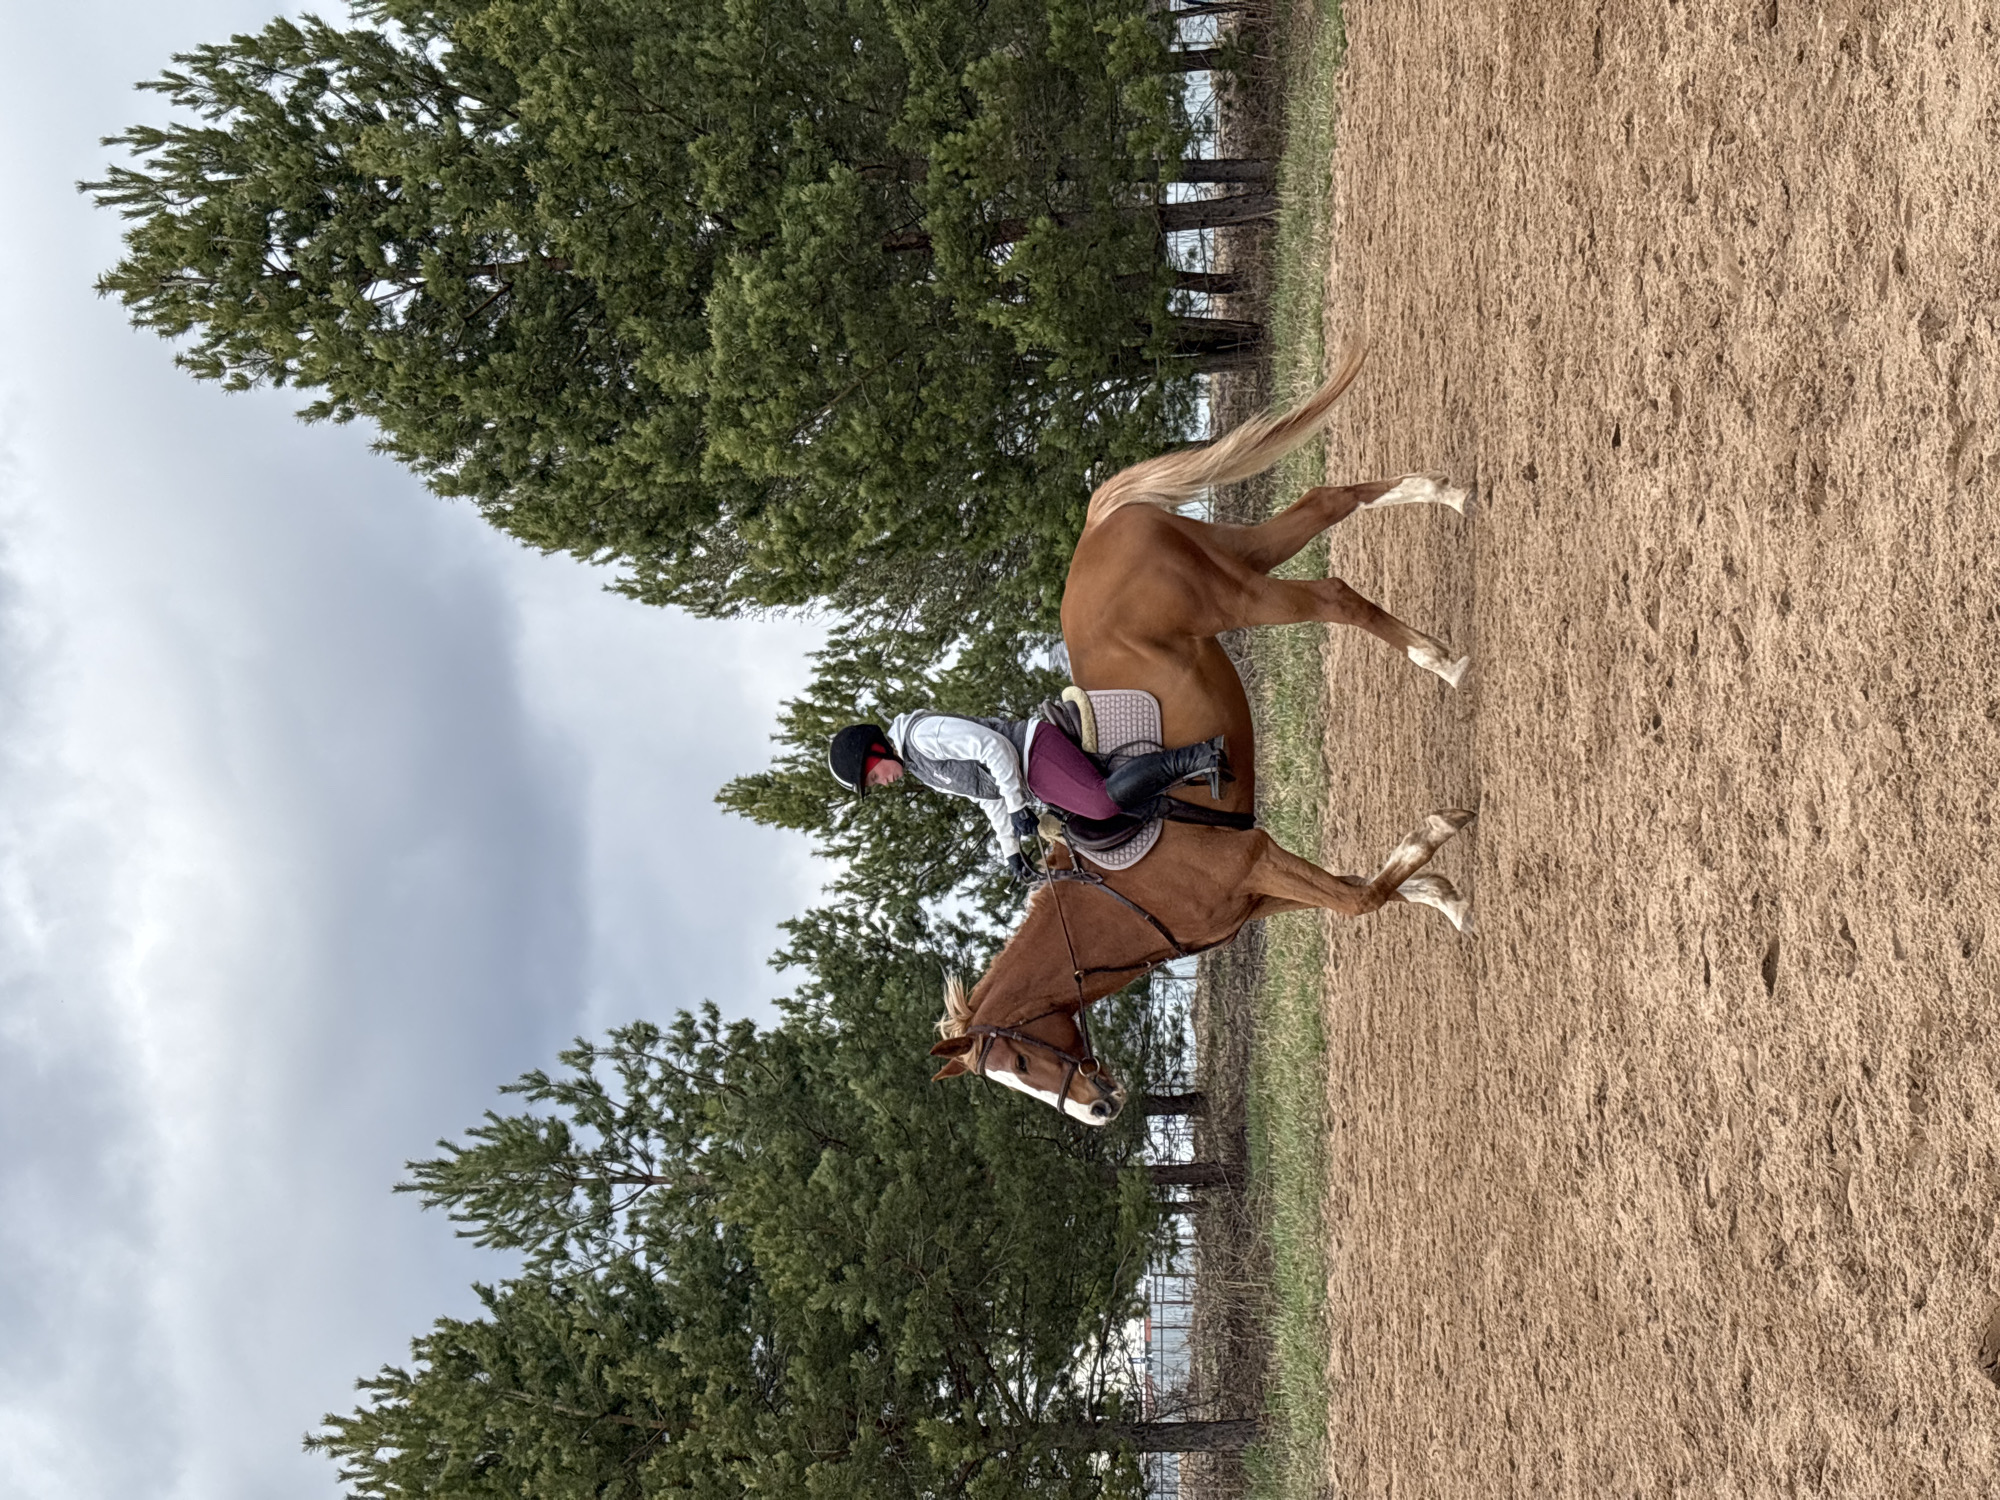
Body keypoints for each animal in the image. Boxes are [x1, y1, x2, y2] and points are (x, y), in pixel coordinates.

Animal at [927, 346, 1477, 1125]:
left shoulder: (1252, 861)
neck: (1121, 900)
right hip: (1236, 558)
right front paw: (1443, 894)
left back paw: (1443, 661)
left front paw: (1437, 833)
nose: (1099, 1111)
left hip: (1236, 595)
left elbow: (1361, 899)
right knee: (1326, 503)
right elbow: (1364, 889)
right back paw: (1445, 494)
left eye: (1022, 1061)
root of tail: (1093, 532)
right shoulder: (1261, 891)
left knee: (1334, 595)